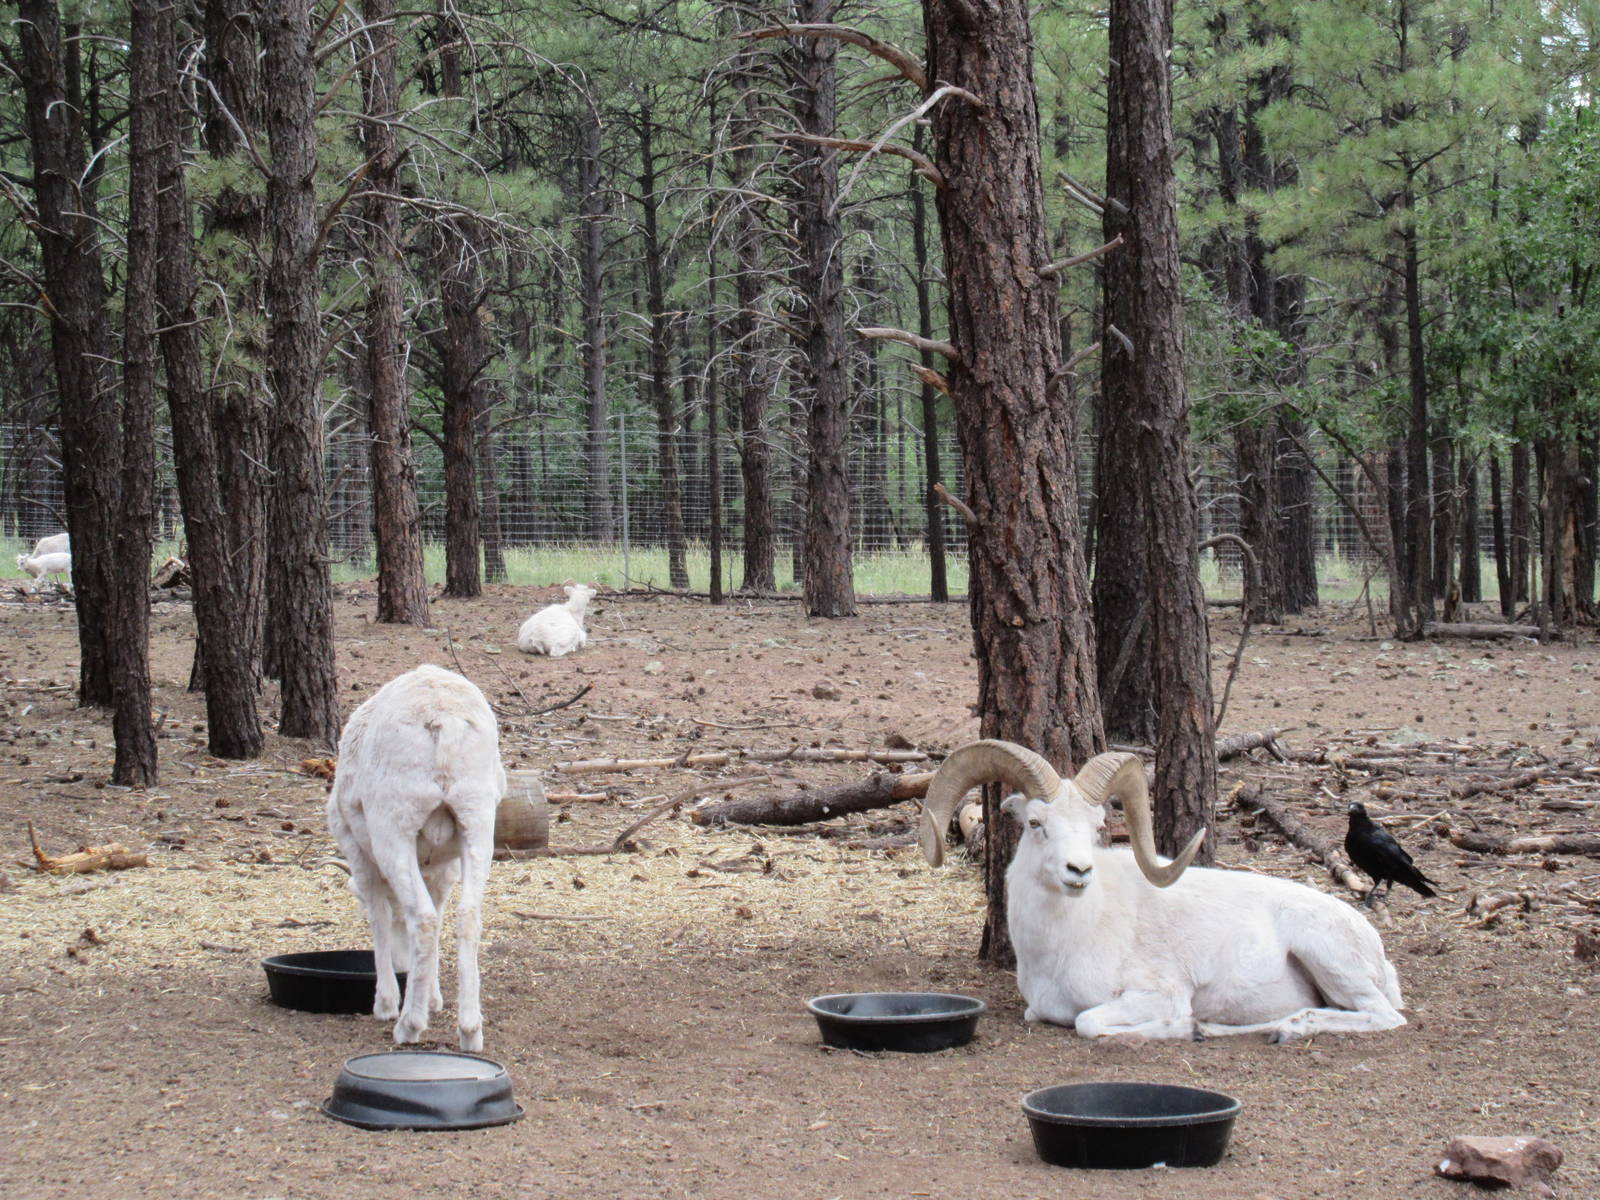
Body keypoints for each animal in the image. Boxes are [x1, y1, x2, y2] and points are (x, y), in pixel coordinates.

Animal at [326, 664, 507, 1051]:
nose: (401, 965)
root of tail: (443, 718)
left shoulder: (355, 848)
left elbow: (379, 914)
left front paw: (385, 1004)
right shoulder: (444, 867)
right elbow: (438, 913)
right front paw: (434, 999)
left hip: (394, 825)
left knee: (422, 918)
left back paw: (408, 1025)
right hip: (478, 821)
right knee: (467, 916)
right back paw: (470, 1030)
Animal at [919, 740, 1407, 1043]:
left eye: (1098, 826)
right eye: (1036, 823)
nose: (1079, 871)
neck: (1064, 943)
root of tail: (1373, 944)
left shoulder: (1155, 994)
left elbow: (1089, 1023)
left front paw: (1185, 1028)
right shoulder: (1038, 1007)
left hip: (1329, 959)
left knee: (1386, 1016)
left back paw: (1285, 1029)